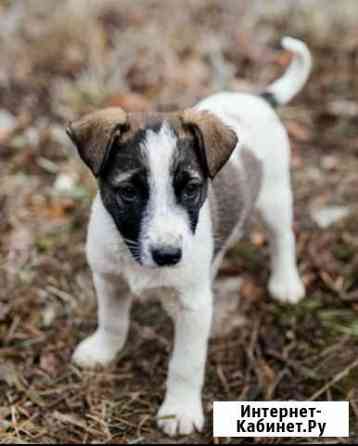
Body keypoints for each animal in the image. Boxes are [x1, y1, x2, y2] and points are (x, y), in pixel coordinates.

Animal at [65, 37, 312, 436]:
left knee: (282, 238)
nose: (168, 256)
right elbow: (112, 321)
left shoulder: (193, 308)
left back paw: (286, 282)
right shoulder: (109, 280)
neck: (134, 257)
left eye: (192, 189)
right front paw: (103, 349)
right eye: (128, 192)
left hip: (274, 195)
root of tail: (258, 99)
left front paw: (179, 409)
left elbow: (185, 363)